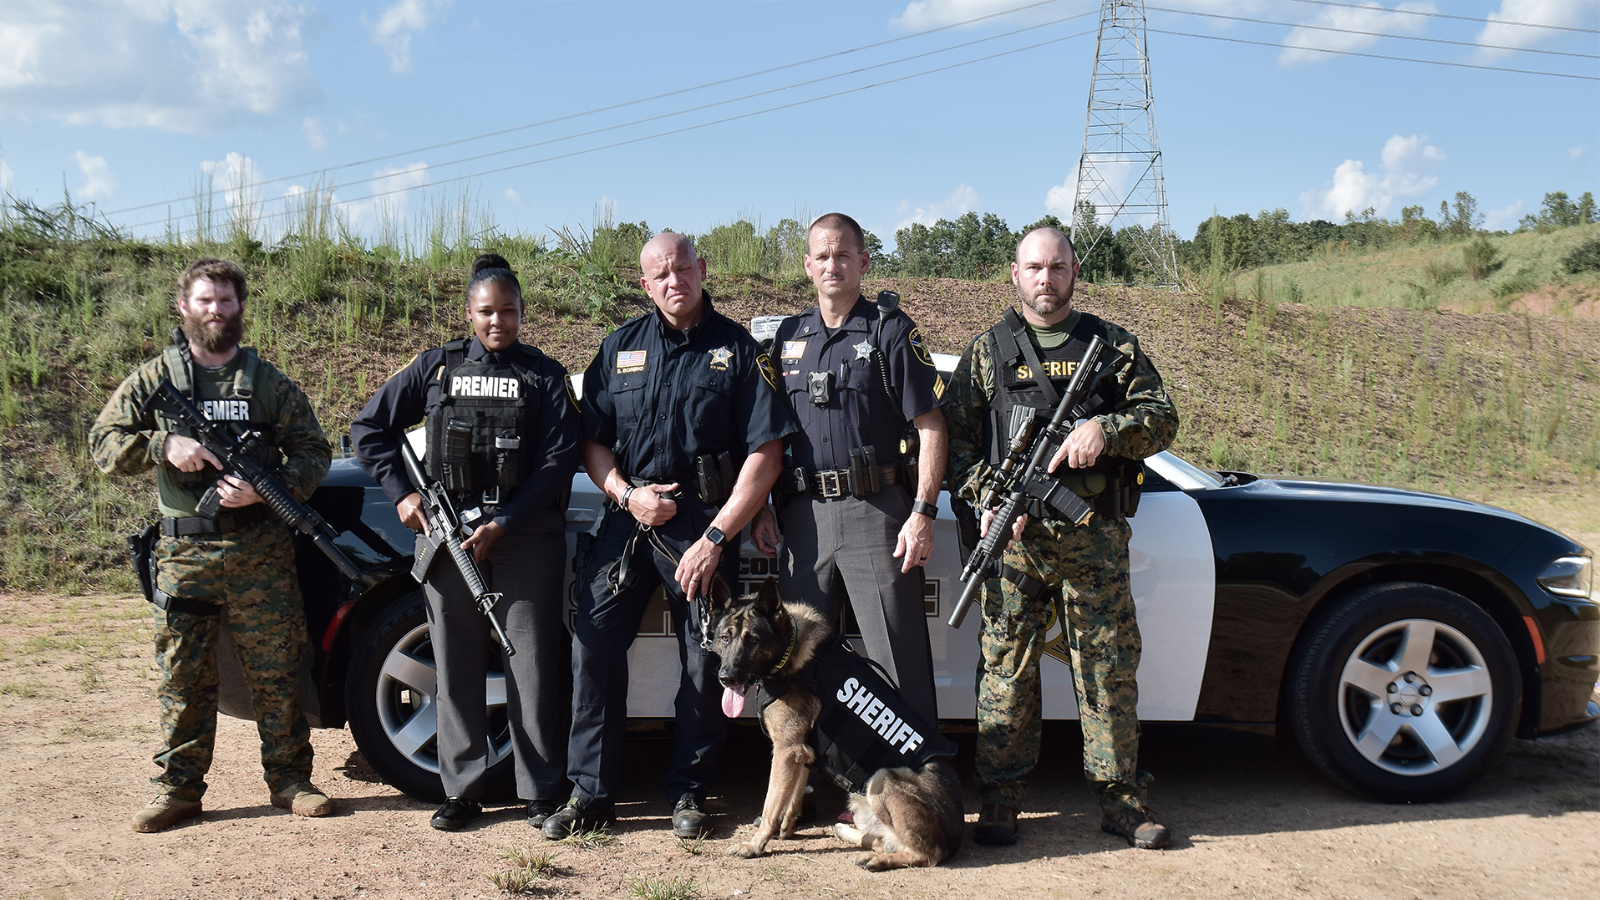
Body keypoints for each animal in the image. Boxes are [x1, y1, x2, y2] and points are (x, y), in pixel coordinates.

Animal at [710, 573, 960, 871]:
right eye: (725, 638)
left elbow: (771, 805)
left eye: (753, 641)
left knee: (925, 854)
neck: (789, 649)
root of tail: (955, 836)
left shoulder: (786, 751)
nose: (727, 677)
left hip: (881, 779)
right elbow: (793, 793)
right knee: (880, 839)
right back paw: (849, 834)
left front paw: (755, 845)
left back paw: (877, 860)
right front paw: (787, 826)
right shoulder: (801, 752)